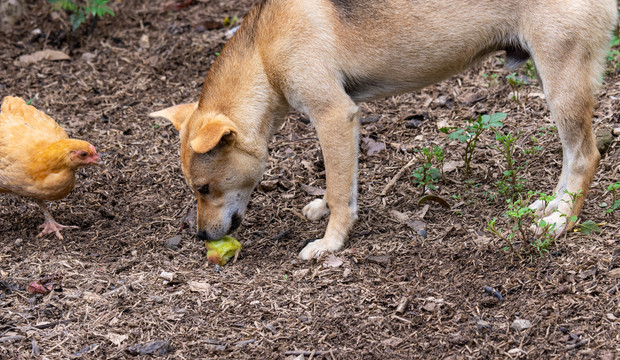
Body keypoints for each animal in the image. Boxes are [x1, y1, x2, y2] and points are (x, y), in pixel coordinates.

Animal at [151, 0, 620, 258]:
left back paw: (560, 223)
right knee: (572, 158)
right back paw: (550, 207)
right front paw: (324, 209)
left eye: (204, 188)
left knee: (585, 156)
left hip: (561, 82)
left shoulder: (334, 116)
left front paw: (331, 243)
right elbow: (343, 185)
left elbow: (340, 190)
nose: (200, 235)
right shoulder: (347, 123)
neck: (264, 52)